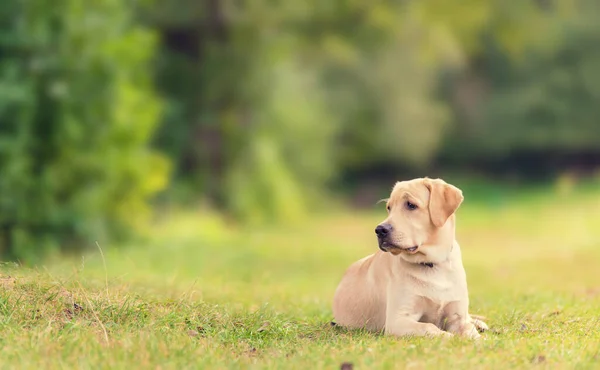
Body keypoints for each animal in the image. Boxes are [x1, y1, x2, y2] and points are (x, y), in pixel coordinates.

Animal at [332, 178, 488, 338]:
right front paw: (451, 338)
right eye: (389, 208)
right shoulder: (397, 320)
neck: (431, 263)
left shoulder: (457, 317)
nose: (380, 230)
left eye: (411, 205)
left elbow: (471, 332)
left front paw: (476, 338)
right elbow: (429, 326)